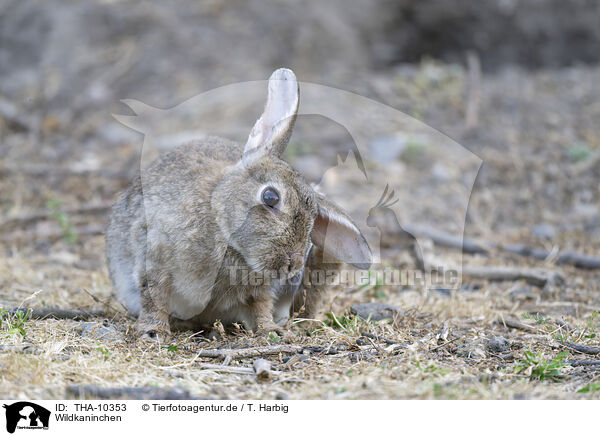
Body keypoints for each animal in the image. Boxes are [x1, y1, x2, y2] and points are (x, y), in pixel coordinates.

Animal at [105, 69, 372, 340]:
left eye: (314, 219)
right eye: (270, 197)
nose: (292, 265)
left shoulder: (260, 288)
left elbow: (260, 306)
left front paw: (270, 331)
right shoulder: (154, 258)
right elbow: (154, 295)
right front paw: (153, 332)